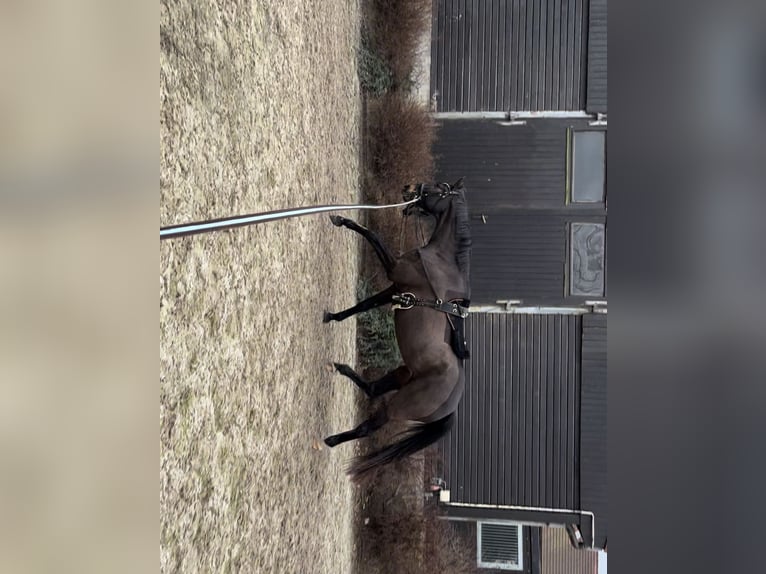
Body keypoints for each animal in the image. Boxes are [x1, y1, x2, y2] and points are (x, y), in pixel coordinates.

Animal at [322, 179, 472, 482]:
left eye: (439, 188)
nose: (410, 188)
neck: (440, 261)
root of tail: (451, 406)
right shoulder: (395, 289)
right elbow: (363, 305)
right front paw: (333, 316)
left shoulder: (394, 271)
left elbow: (370, 234)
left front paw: (341, 219)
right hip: (403, 374)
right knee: (371, 389)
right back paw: (341, 369)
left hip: (399, 405)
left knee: (369, 426)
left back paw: (330, 440)